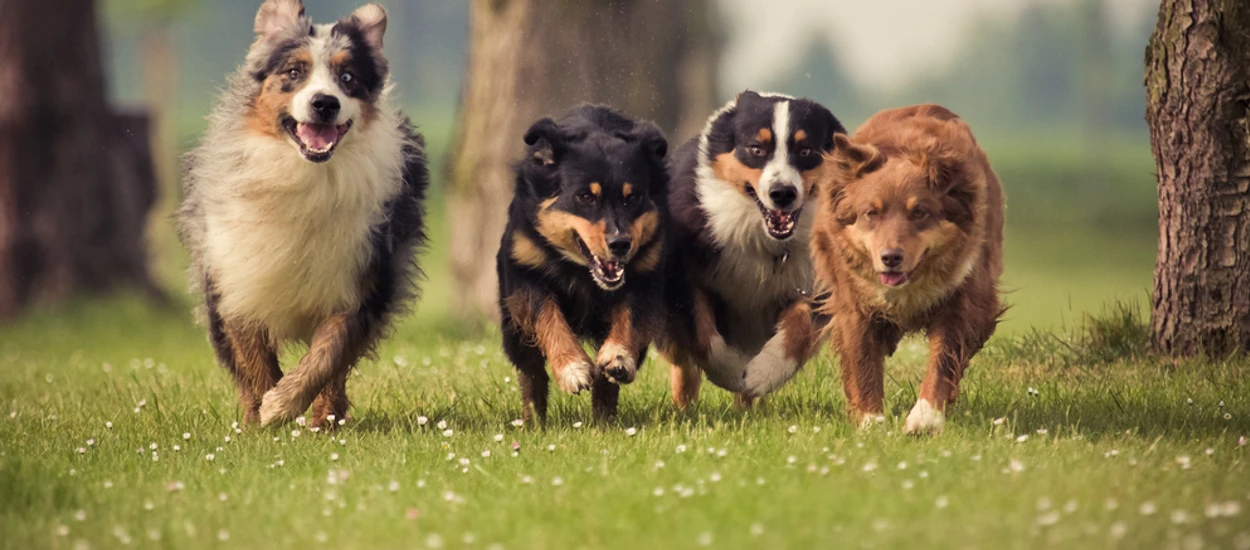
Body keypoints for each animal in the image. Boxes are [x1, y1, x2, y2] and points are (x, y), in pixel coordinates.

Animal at [176, 0, 430, 430]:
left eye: (348, 77)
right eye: (294, 72)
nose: (325, 103)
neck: (306, 174)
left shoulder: (363, 279)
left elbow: (328, 355)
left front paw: (284, 404)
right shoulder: (235, 278)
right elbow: (254, 360)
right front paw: (262, 418)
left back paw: (326, 420)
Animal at [497, 108, 675, 425]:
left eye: (632, 198)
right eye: (585, 197)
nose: (620, 243)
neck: (580, 269)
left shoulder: (645, 276)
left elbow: (628, 318)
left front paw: (617, 357)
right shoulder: (526, 272)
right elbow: (549, 317)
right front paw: (573, 369)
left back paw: (604, 421)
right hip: (514, 327)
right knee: (531, 371)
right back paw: (534, 422)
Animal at [660, 91, 845, 407]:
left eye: (806, 151)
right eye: (756, 149)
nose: (782, 193)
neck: (765, 240)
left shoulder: (817, 284)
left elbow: (800, 328)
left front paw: (762, 374)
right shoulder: (684, 277)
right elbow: (701, 332)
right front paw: (732, 372)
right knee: (682, 362)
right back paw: (684, 406)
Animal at [810, 104, 1005, 435]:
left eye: (920, 213)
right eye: (871, 213)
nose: (891, 258)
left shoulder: (964, 298)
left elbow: (944, 359)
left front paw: (925, 418)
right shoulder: (853, 303)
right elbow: (862, 361)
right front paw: (871, 423)